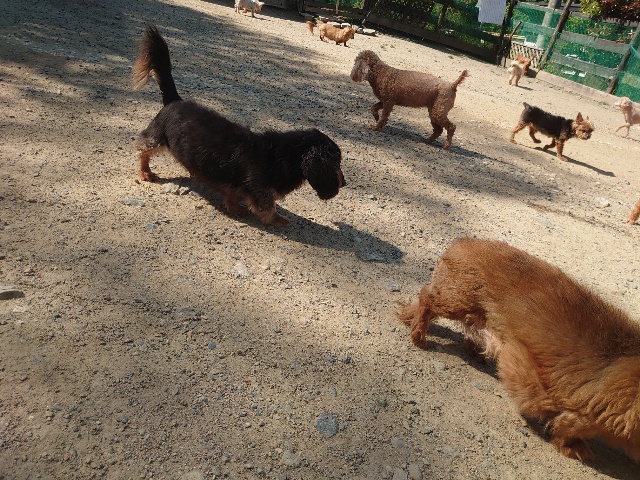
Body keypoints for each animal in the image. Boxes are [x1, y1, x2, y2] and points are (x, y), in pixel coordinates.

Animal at [132, 26, 345, 228]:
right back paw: (145, 172)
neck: (284, 154)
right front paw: (277, 219)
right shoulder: (260, 190)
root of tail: (174, 100)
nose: (344, 183)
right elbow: (268, 206)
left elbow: (233, 195)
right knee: (142, 150)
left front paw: (234, 207)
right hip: (156, 138)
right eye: (336, 164)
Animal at [397, 238, 640, 462]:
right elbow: (567, 427)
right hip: (456, 300)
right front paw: (575, 449)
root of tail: (460, 243)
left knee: (467, 325)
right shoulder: (587, 416)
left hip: (475, 310)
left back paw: (474, 352)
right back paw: (418, 335)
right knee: (426, 299)